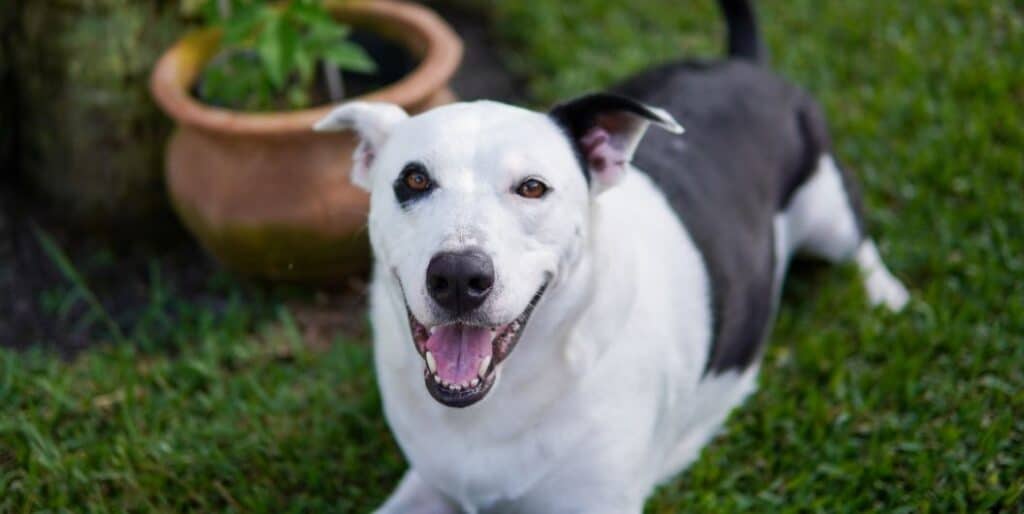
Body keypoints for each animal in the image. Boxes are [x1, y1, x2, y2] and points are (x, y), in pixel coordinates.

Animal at [315, 2, 909, 511]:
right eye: (414, 180)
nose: (459, 277)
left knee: (857, 241)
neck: (500, 400)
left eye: (532, 187)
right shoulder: (427, 485)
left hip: (826, 206)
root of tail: (744, 64)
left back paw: (885, 296)